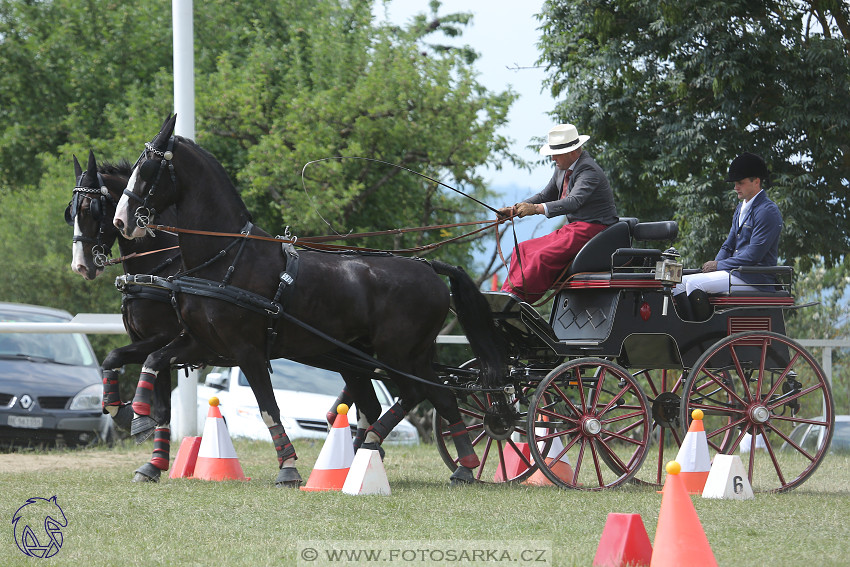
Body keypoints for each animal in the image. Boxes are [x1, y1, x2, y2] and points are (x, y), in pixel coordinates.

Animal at [67, 149, 184, 482]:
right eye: (70, 212)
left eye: (91, 209)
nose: (80, 266)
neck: (160, 269)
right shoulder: (152, 344)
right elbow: (162, 408)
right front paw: (154, 464)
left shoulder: (163, 339)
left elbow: (113, 356)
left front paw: (129, 415)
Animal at [115, 115, 506, 488]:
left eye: (147, 169)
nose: (122, 221)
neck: (225, 259)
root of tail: (429, 267)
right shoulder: (202, 343)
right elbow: (152, 359)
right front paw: (137, 417)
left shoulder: (247, 350)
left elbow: (268, 407)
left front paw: (287, 468)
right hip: (398, 356)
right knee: (439, 396)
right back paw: (458, 465)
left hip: (398, 354)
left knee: (419, 393)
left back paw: (383, 447)